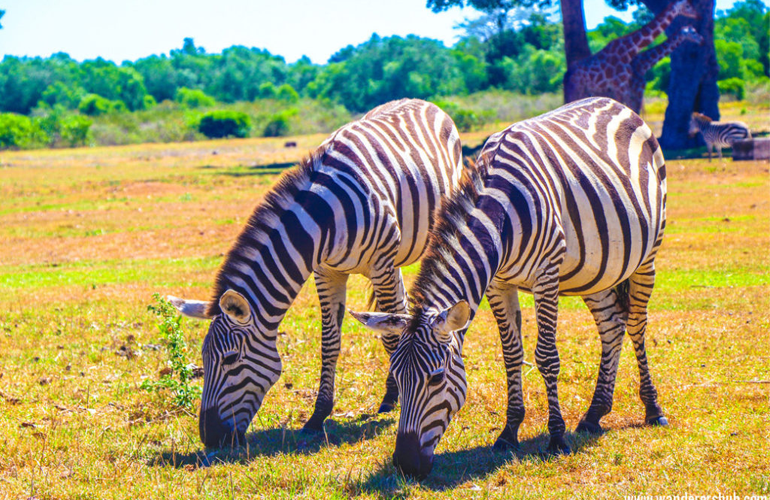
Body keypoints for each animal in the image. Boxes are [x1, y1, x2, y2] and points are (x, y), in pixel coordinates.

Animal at [169, 99, 462, 448]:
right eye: (203, 358)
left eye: (229, 359)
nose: (211, 437)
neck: (322, 218)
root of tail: (422, 102)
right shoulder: (326, 273)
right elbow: (330, 341)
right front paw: (318, 415)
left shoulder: (380, 265)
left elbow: (392, 337)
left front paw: (399, 398)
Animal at [350, 96, 664, 476]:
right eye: (395, 377)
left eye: (436, 378)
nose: (405, 465)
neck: (502, 217)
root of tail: (617, 104)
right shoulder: (497, 284)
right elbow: (511, 355)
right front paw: (509, 431)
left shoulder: (546, 274)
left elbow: (546, 356)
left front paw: (556, 438)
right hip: (596, 270)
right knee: (611, 327)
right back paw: (594, 414)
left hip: (647, 254)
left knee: (635, 324)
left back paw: (653, 409)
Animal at [560, 0, 700, 105]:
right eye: (687, 6)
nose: (698, 15)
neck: (630, 51)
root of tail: (567, 73)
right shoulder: (625, 87)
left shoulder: (628, 88)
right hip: (577, 87)